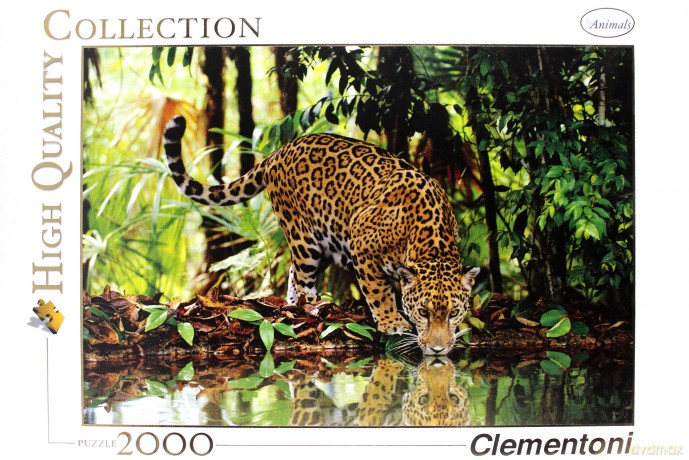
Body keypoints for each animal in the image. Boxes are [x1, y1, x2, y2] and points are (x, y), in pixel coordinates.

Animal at [163, 115, 479, 355]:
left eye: (453, 313)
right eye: (423, 312)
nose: (438, 350)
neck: (428, 241)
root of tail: (279, 151)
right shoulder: (362, 245)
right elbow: (379, 292)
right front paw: (392, 322)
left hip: (325, 241)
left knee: (293, 275)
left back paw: (294, 306)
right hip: (304, 238)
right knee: (302, 278)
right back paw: (311, 309)